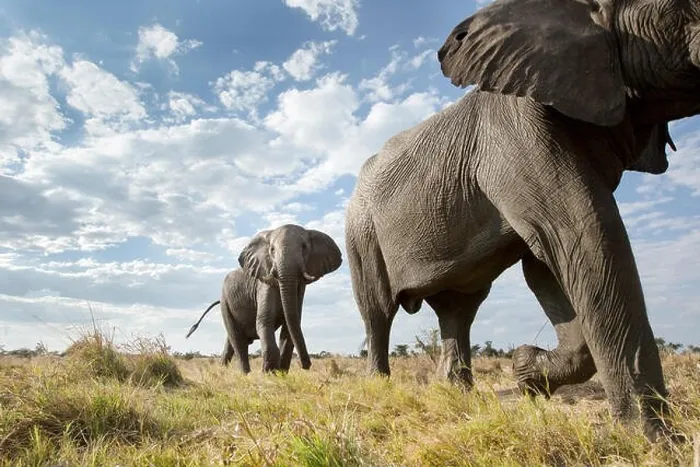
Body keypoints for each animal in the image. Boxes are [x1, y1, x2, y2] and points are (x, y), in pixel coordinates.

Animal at [186, 224, 342, 373]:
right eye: (272, 250)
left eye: (304, 247)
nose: (306, 365)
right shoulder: (264, 284)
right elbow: (265, 321)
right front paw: (269, 373)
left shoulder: (299, 289)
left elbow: (289, 327)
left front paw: (281, 374)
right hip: (225, 303)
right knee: (238, 341)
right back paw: (245, 375)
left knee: (231, 343)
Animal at [344, 0, 700, 441]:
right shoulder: (517, 130)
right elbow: (583, 235)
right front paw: (654, 442)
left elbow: (547, 263)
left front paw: (527, 371)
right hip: (362, 234)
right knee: (378, 310)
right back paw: (380, 387)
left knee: (458, 310)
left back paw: (458, 394)